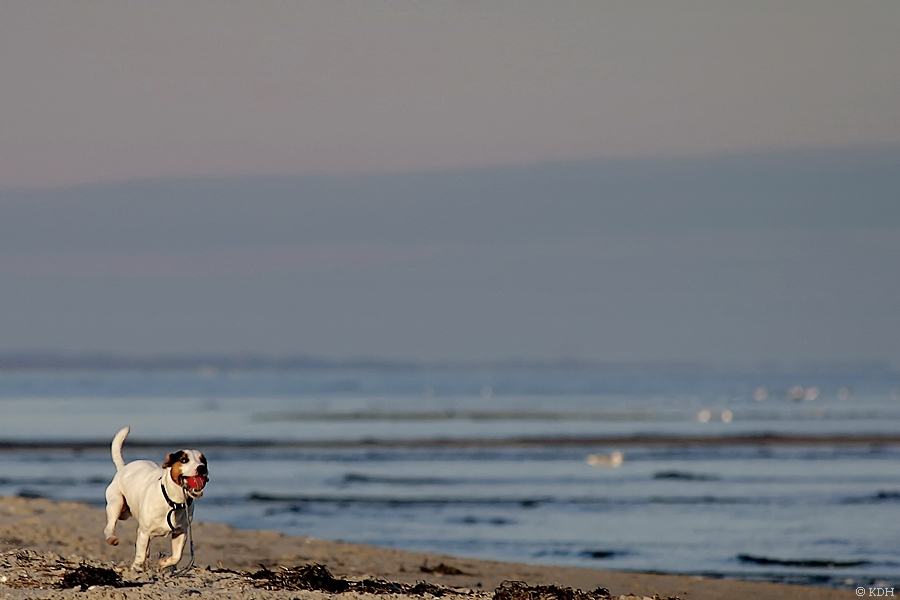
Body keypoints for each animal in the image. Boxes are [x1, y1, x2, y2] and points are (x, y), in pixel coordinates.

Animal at [103, 424, 208, 568]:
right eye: (184, 460)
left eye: (204, 461)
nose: (202, 468)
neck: (173, 503)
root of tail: (123, 468)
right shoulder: (144, 532)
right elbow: (140, 556)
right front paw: (136, 568)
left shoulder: (181, 532)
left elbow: (177, 556)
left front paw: (163, 563)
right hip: (116, 504)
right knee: (110, 526)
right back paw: (111, 538)